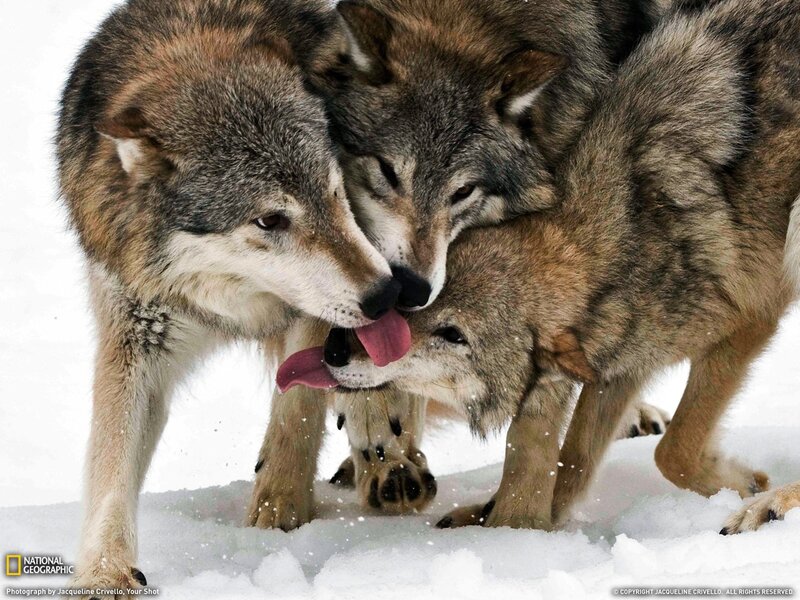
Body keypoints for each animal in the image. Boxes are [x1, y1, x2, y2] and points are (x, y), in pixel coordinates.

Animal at [56, 0, 406, 593]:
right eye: (269, 220)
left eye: (334, 191)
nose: (385, 295)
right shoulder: (135, 334)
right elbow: (110, 462)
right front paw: (104, 573)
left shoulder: (314, 314)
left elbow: (297, 410)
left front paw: (279, 510)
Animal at [249, 0, 690, 524]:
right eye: (387, 171)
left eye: (464, 191)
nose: (411, 289)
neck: (464, 18)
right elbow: (311, 383)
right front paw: (281, 504)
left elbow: (534, 413)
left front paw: (516, 522)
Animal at [320, 0, 800, 529]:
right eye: (406, 309)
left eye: (453, 335)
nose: (335, 349)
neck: (622, 233)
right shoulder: (617, 364)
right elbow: (571, 463)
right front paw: (514, 523)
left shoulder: (747, 325)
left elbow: (671, 452)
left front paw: (744, 484)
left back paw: (773, 505)